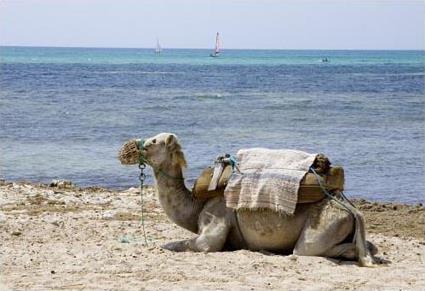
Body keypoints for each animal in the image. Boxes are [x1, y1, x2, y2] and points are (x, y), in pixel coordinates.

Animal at [132, 132, 374, 266]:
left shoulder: (215, 220)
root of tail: (353, 210)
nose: (134, 145)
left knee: (308, 250)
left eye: (154, 140)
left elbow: (187, 244)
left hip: (321, 229)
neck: (196, 204)